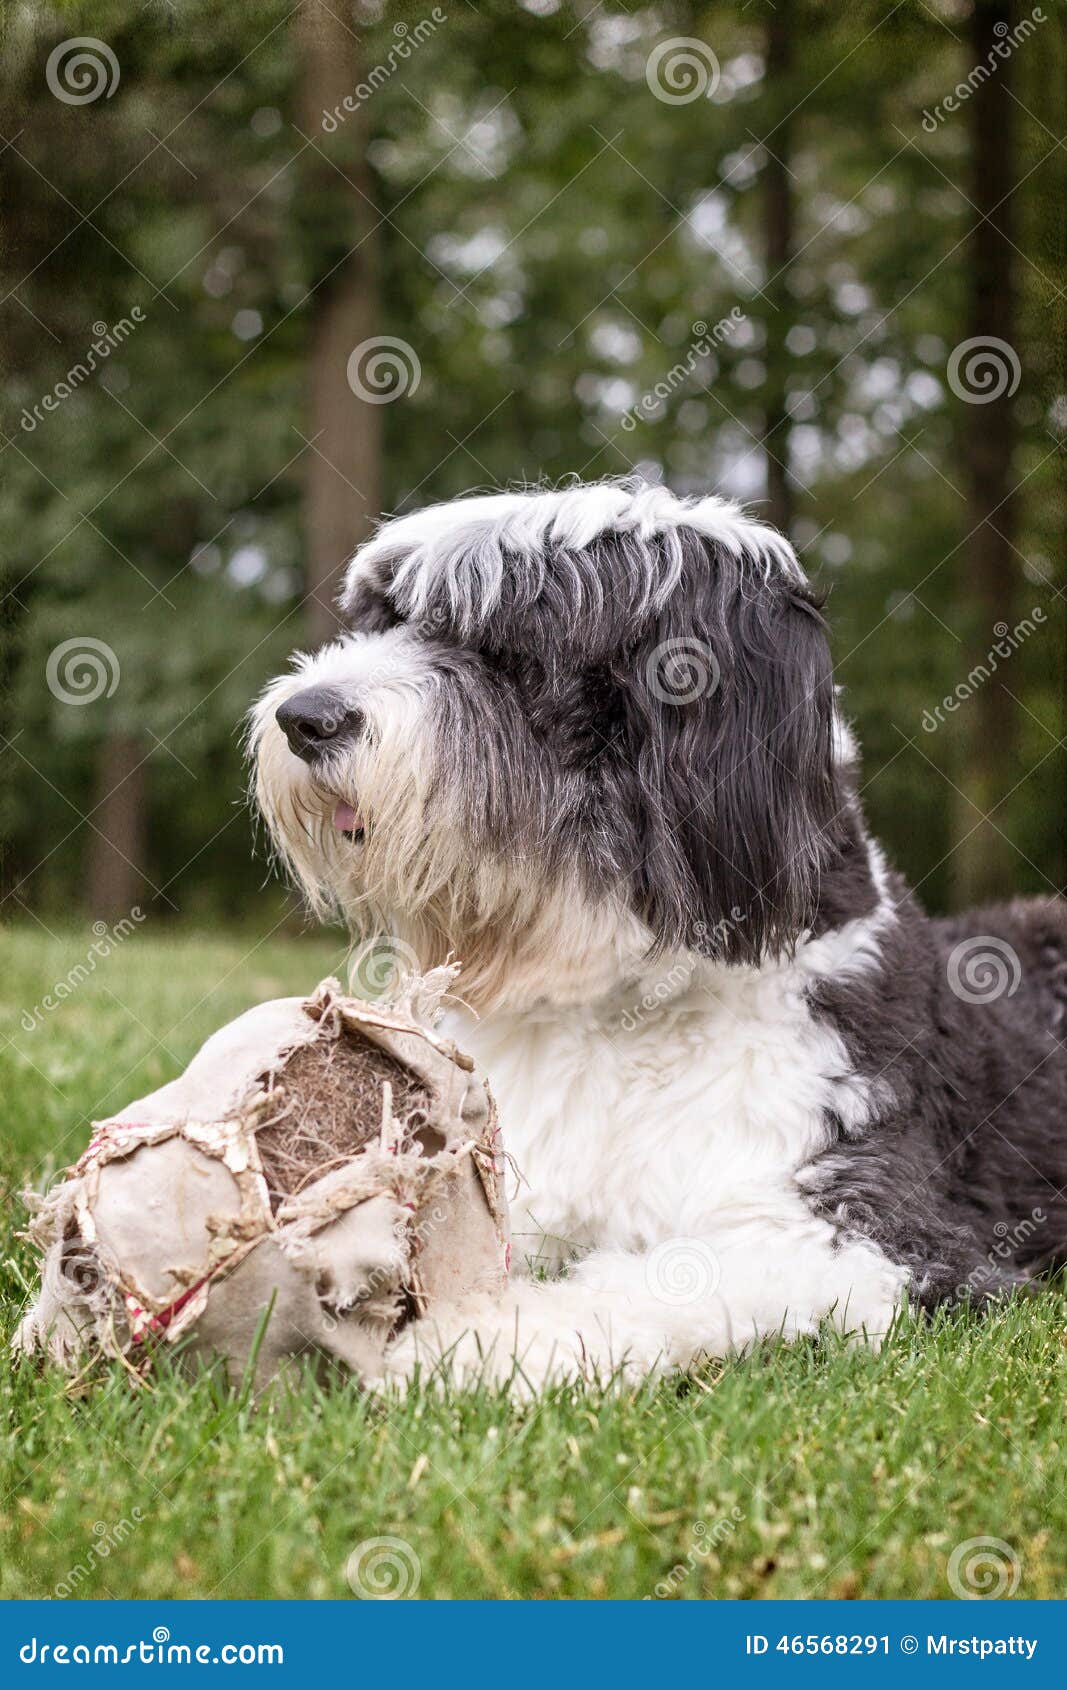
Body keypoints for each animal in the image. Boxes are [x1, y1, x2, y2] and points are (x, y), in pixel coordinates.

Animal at [251, 479, 1067, 1385]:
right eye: (381, 619)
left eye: (500, 650)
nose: (303, 717)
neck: (616, 1012)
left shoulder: (872, 1229)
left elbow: (652, 1281)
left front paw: (471, 1341)